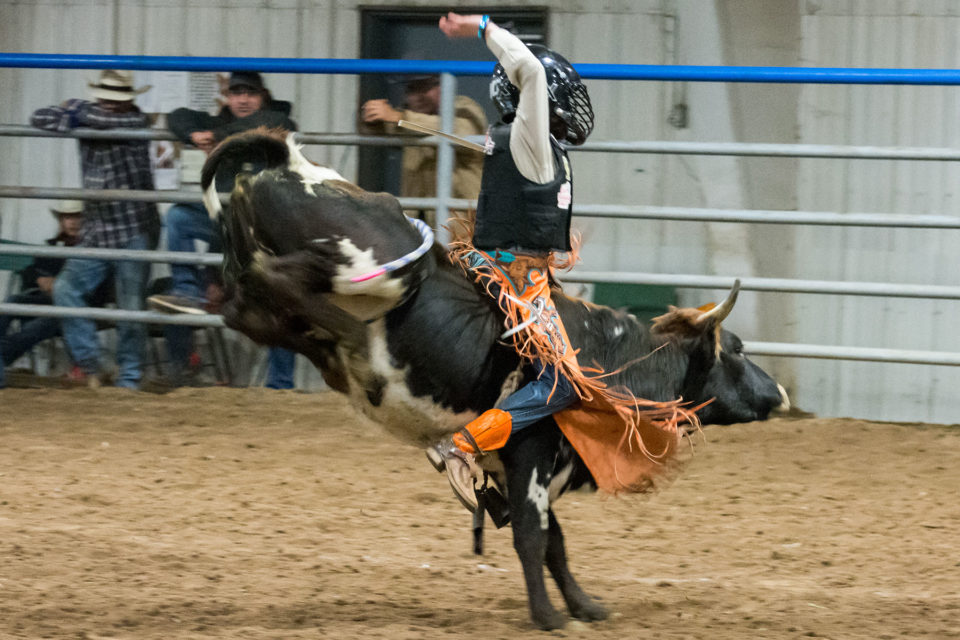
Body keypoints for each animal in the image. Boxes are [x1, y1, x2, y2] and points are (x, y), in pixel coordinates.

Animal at [201, 129, 788, 632]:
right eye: (737, 349)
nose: (779, 393)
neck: (608, 358)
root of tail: (289, 166)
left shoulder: (514, 469)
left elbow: (555, 541)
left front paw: (584, 606)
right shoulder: (531, 453)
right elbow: (533, 535)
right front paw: (548, 616)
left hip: (275, 304)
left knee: (243, 304)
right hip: (380, 272)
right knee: (279, 280)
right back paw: (343, 314)